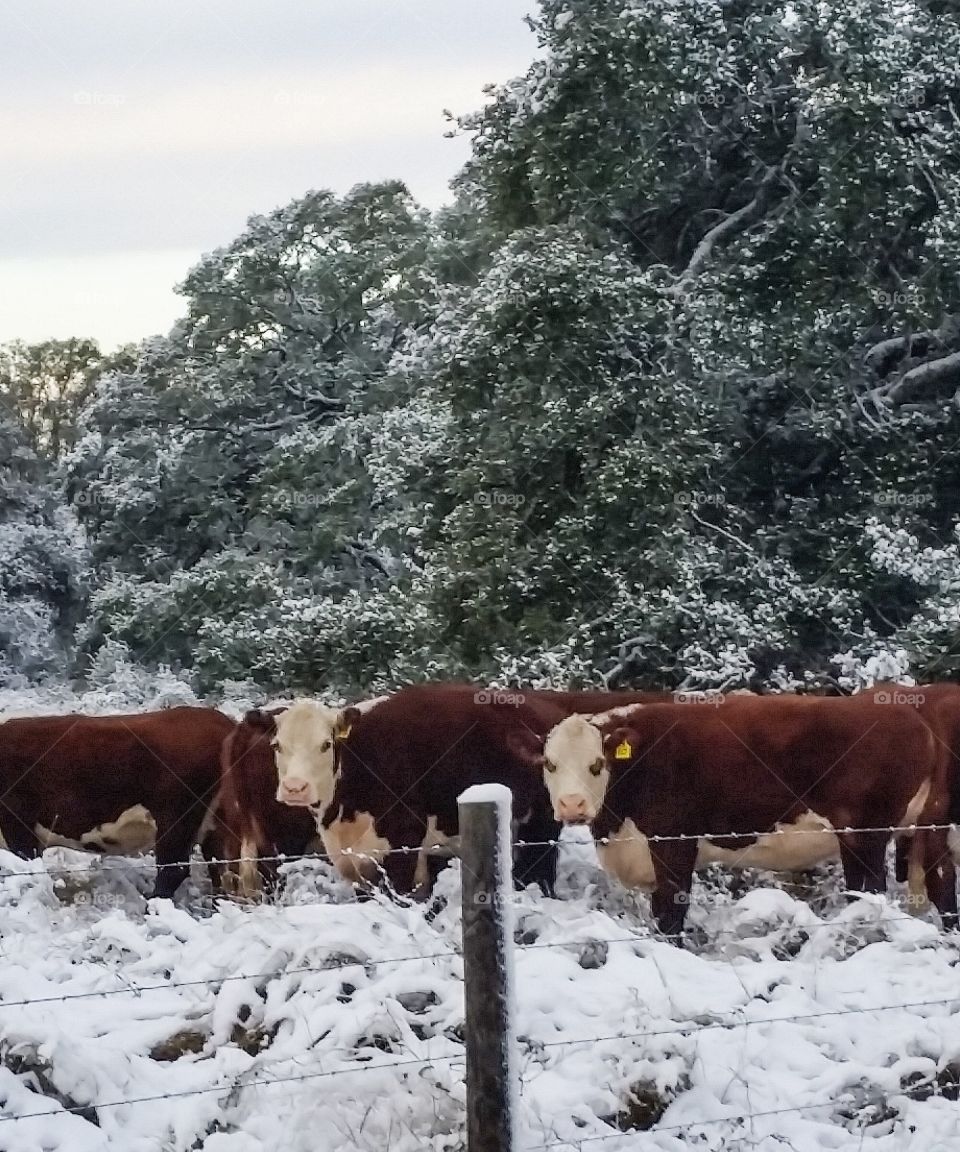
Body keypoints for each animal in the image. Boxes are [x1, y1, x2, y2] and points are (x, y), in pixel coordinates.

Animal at [540, 694, 950, 936]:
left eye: (597, 764)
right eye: (550, 764)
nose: (572, 805)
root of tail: (911, 712)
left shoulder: (674, 842)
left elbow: (670, 912)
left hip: (864, 835)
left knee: (870, 891)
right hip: (927, 827)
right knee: (941, 885)